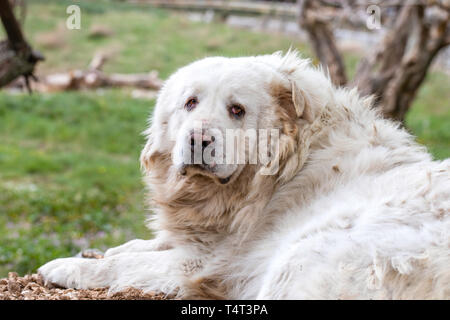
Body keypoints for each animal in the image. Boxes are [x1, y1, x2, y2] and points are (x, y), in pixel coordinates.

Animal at [39, 51, 450, 298]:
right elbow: (141, 245)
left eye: (236, 110)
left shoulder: (205, 263)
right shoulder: (202, 240)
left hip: (300, 255)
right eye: (190, 103)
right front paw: (102, 249)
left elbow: (126, 263)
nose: (198, 139)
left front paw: (67, 266)